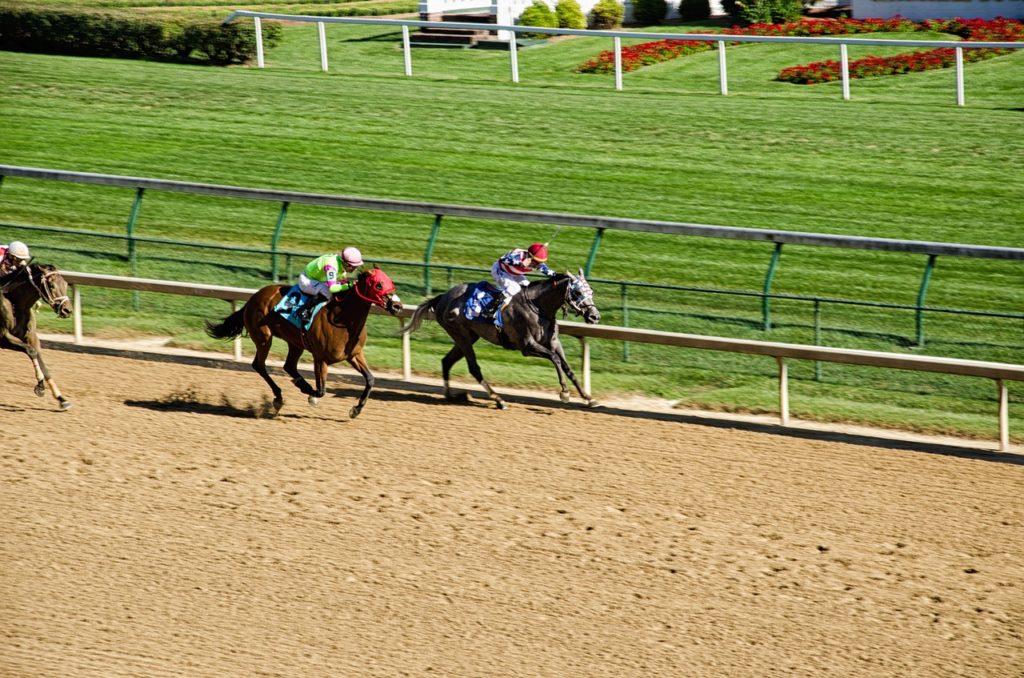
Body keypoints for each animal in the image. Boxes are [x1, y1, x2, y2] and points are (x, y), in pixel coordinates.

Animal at [0, 262, 74, 411]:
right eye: (51, 285)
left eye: (65, 284)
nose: (67, 310)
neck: (14, 301)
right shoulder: (3, 337)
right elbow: (31, 351)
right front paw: (40, 385)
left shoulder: (32, 337)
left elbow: (41, 361)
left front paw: (61, 398)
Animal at [205, 266, 401, 419]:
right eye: (378, 284)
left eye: (391, 282)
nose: (398, 306)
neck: (343, 319)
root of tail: (253, 297)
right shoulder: (320, 358)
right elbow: (321, 390)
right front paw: (311, 396)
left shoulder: (354, 354)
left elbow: (370, 379)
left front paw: (356, 409)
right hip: (264, 337)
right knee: (259, 365)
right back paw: (280, 397)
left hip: (295, 342)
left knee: (289, 366)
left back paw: (297, 384)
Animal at [397, 270, 598, 409]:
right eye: (578, 293)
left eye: (591, 291)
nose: (595, 316)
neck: (539, 307)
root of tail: (442, 297)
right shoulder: (527, 346)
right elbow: (555, 359)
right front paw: (564, 392)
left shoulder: (554, 342)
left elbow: (568, 368)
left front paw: (588, 398)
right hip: (461, 336)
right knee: (474, 368)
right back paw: (498, 399)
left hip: (468, 336)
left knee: (447, 361)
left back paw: (449, 395)